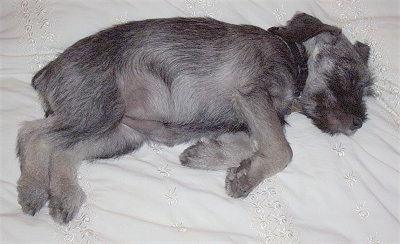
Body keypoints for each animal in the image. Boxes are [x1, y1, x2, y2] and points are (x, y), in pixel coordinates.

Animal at [17, 12, 376, 223]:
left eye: (366, 87)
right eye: (349, 74)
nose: (359, 123)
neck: (294, 55)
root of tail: (47, 71)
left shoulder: (242, 121)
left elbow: (247, 146)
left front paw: (208, 157)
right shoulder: (252, 94)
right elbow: (282, 150)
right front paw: (245, 179)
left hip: (119, 135)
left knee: (64, 150)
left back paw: (63, 197)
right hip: (96, 111)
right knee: (34, 134)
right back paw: (33, 188)